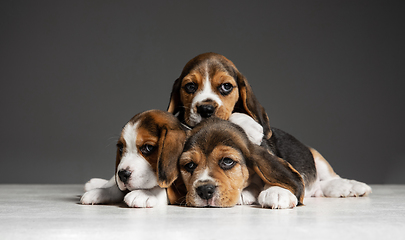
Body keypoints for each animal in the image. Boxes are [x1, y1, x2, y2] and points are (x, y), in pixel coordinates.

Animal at [168, 51, 372, 205]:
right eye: (190, 86)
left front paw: (278, 190)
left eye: (226, 87)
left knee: (329, 177)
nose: (206, 109)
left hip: (314, 155)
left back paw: (350, 186)